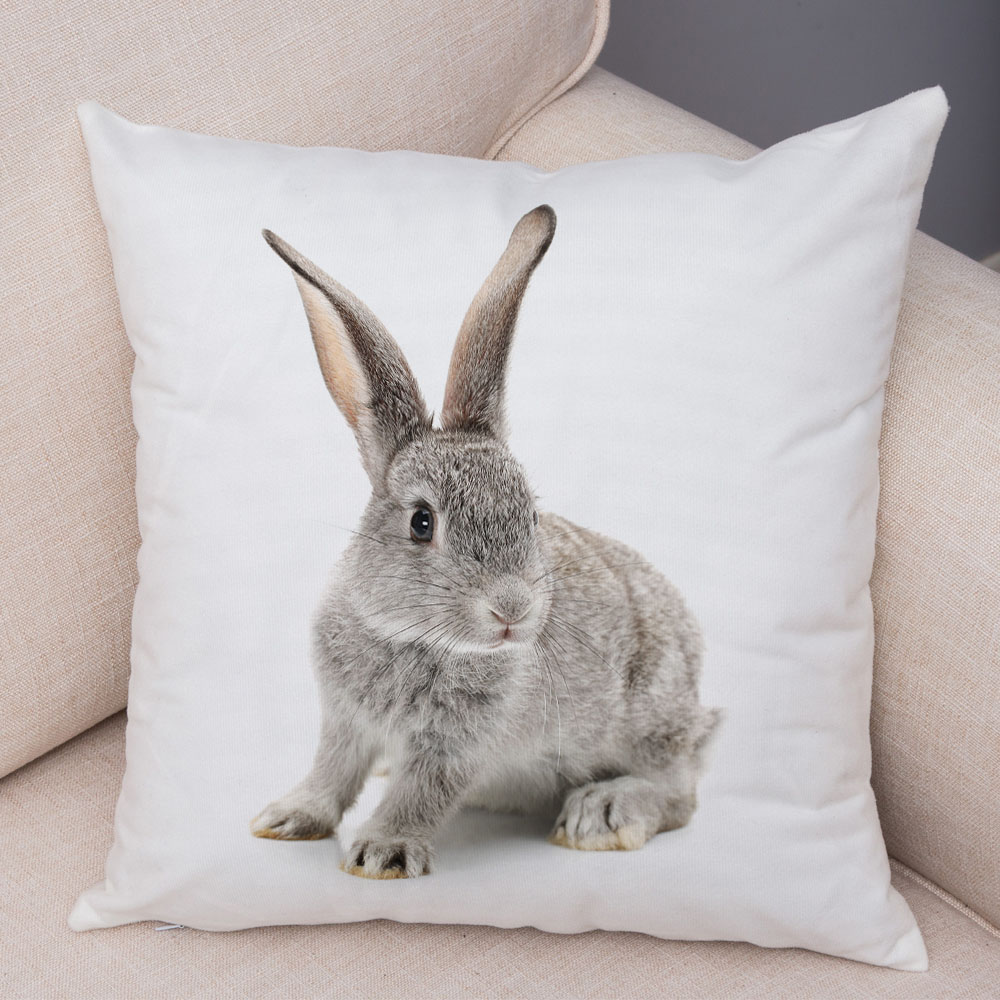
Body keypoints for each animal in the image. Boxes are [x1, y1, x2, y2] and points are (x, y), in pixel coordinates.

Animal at [250, 205, 722, 879]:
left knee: (679, 793)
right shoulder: (345, 722)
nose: (513, 608)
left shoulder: (456, 744)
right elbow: (333, 772)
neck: (412, 636)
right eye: (422, 522)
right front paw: (289, 818)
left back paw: (602, 814)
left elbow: (421, 791)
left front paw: (384, 851)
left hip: (650, 716)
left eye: (530, 515)